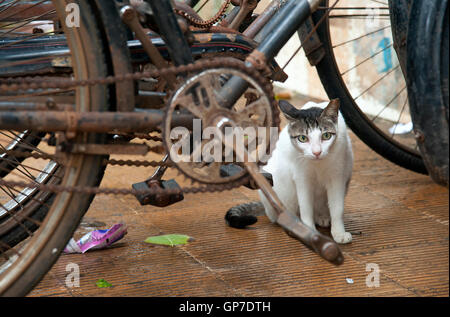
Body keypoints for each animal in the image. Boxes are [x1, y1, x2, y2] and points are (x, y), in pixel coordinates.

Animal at [227, 99, 354, 244]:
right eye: (303, 138)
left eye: (326, 136)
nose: (317, 152)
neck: (318, 164)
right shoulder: (302, 178)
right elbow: (305, 207)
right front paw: (309, 231)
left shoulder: (337, 177)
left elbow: (337, 208)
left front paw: (339, 233)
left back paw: (322, 216)